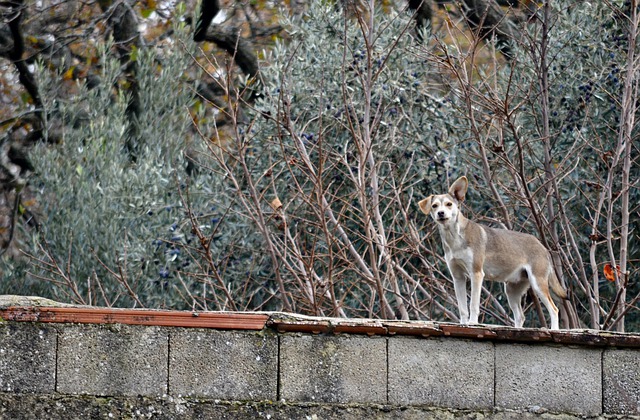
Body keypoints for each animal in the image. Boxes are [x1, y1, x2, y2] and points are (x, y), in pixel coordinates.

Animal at [420, 176, 564, 330]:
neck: (455, 238)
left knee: (554, 309)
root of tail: (543, 247)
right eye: (434, 206)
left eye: (448, 204)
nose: (440, 213)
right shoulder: (458, 277)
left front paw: (472, 323)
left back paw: (554, 330)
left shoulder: (476, 274)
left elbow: (473, 304)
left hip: (538, 283)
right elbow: (462, 308)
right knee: (520, 316)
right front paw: (463, 324)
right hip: (511, 290)